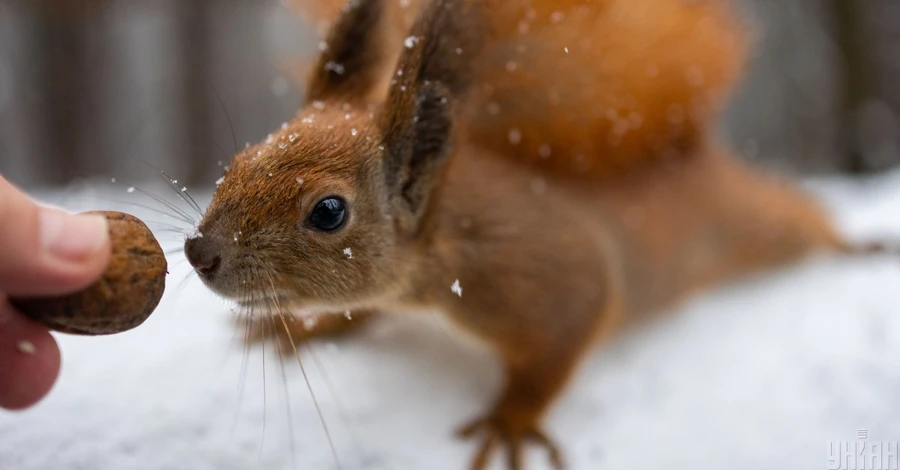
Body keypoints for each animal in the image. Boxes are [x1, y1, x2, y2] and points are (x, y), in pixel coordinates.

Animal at [183, 0, 892, 470]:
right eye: (240, 159)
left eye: (328, 212)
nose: (198, 252)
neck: (443, 237)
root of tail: (692, 156)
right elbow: (359, 310)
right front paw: (304, 327)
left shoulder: (537, 272)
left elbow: (570, 329)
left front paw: (510, 421)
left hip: (752, 225)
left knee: (799, 221)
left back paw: (856, 245)